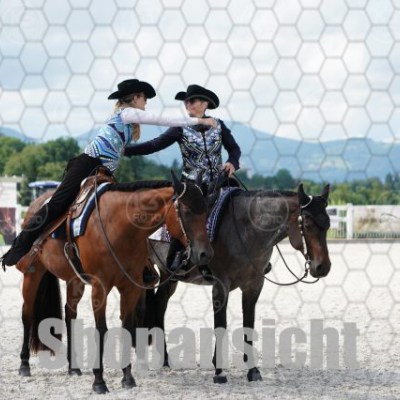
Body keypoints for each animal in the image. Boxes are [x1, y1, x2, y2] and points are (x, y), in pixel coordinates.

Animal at [14, 174, 213, 394]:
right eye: (186, 212)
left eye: (206, 210)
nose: (205, 253)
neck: (120, 227)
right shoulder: (100, 287)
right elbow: (101, 330)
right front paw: (99, 381)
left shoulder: (130, 287)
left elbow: (126, 326)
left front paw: (128, 377)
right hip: (33, 273)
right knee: (27, 313)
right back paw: (24, 365)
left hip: (75, 281)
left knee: (70, 313)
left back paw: (73, 367)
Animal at [147, 183, 331, 383]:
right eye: (307, 224)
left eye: (328, 224)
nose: (322, 267)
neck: (246, 231)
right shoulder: (220, 285)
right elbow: (220, 325)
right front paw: (219, 371)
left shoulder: (254, 286)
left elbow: (248, 324)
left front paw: (253, 370)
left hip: (168, 278)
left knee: (159, 305)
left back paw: (165, 359)